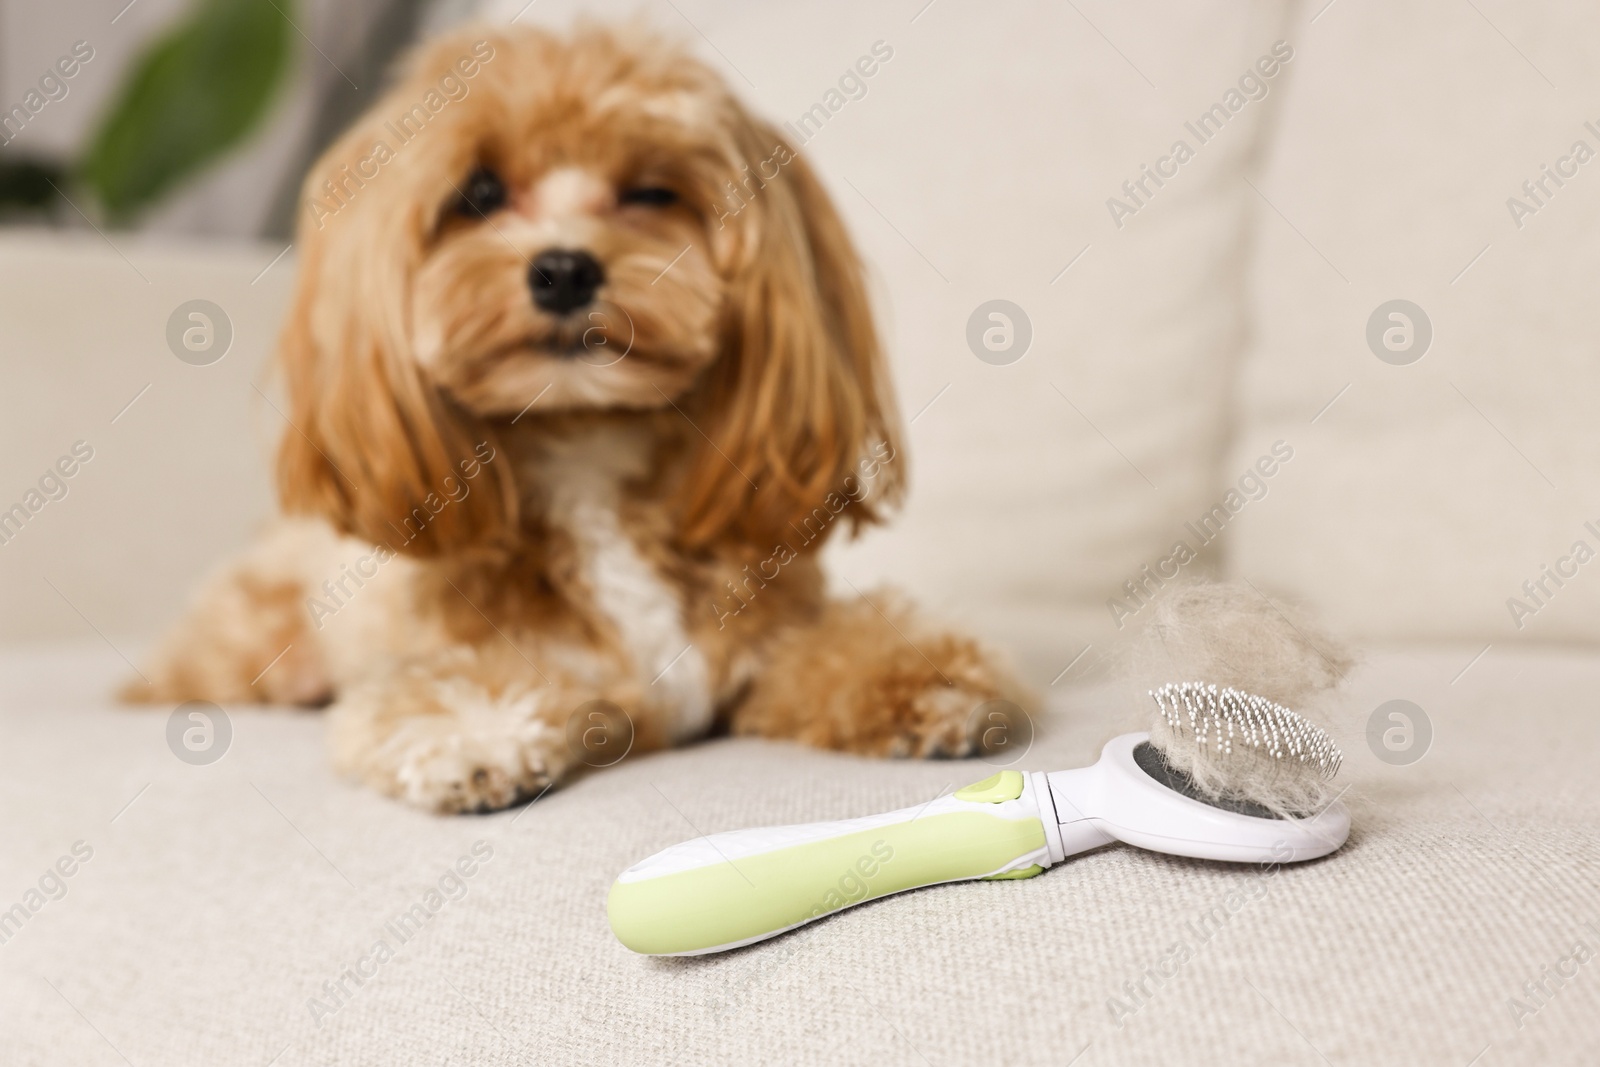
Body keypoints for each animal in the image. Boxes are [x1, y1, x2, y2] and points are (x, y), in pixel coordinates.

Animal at [128, 22, 1024, 809]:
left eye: (652, 192)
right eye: (479, 193)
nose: (563, 270)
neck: (587, 449)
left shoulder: (766, 643)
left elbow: (840, 646)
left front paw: (926, 681)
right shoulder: (517, 665)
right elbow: (446, 688)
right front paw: (474, 736)